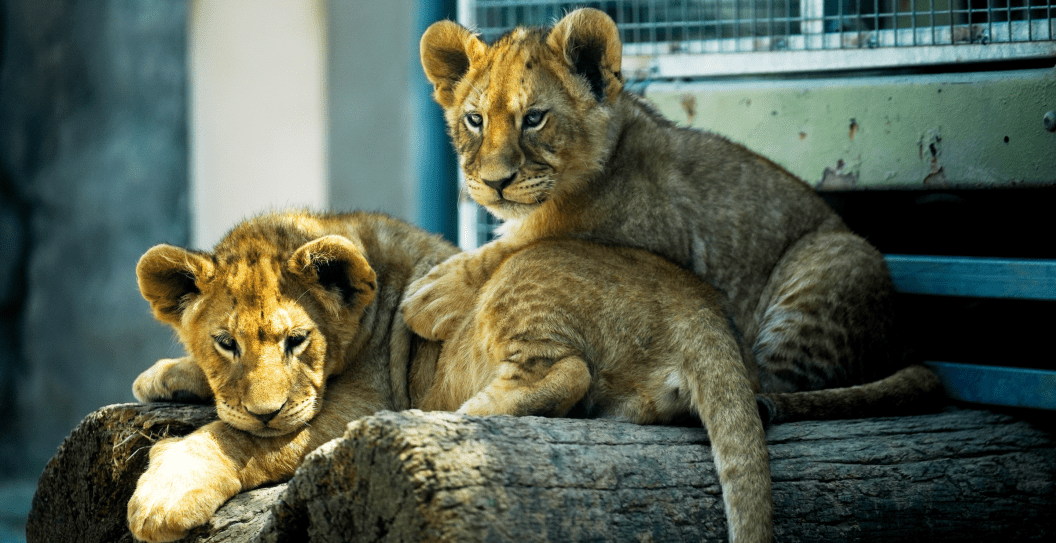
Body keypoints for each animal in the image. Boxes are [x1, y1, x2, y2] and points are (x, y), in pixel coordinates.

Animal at [126, 210, 457, 543]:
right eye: (227, 343)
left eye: (297, 339)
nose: (264, 414)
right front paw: (163, 374)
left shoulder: (372, 402)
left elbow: (239, 437)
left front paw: (166, 494)